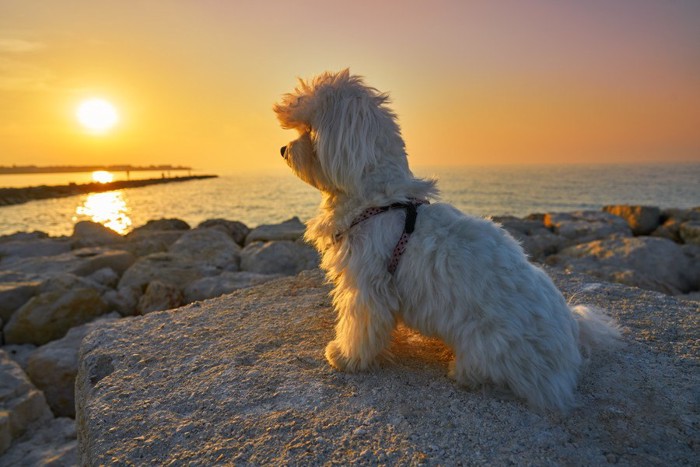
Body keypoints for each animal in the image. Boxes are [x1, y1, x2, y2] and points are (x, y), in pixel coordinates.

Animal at [274, 69, 616, 414]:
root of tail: (569, 353)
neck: (377, 199)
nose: (282, 150)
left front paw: (345, 356)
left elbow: (360, 325)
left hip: (488, 345)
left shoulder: (366, 286)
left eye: (309, 129)